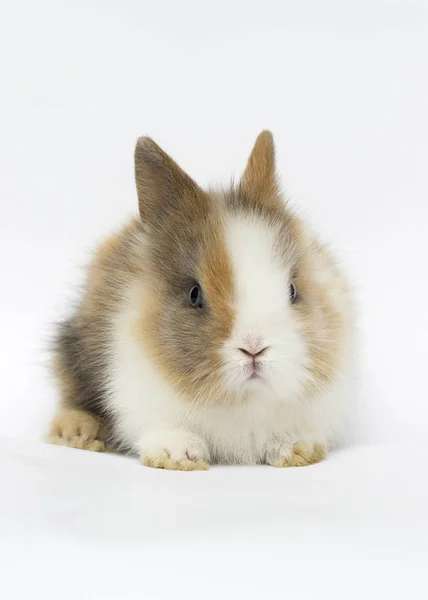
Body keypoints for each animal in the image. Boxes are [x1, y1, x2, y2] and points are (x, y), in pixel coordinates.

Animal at [46, 130, 354, 468]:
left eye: (292, 290)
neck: (239, 402)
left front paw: (296, 448)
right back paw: (77, 433)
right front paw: (177, 454)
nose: (255, 348)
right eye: (195, 295)